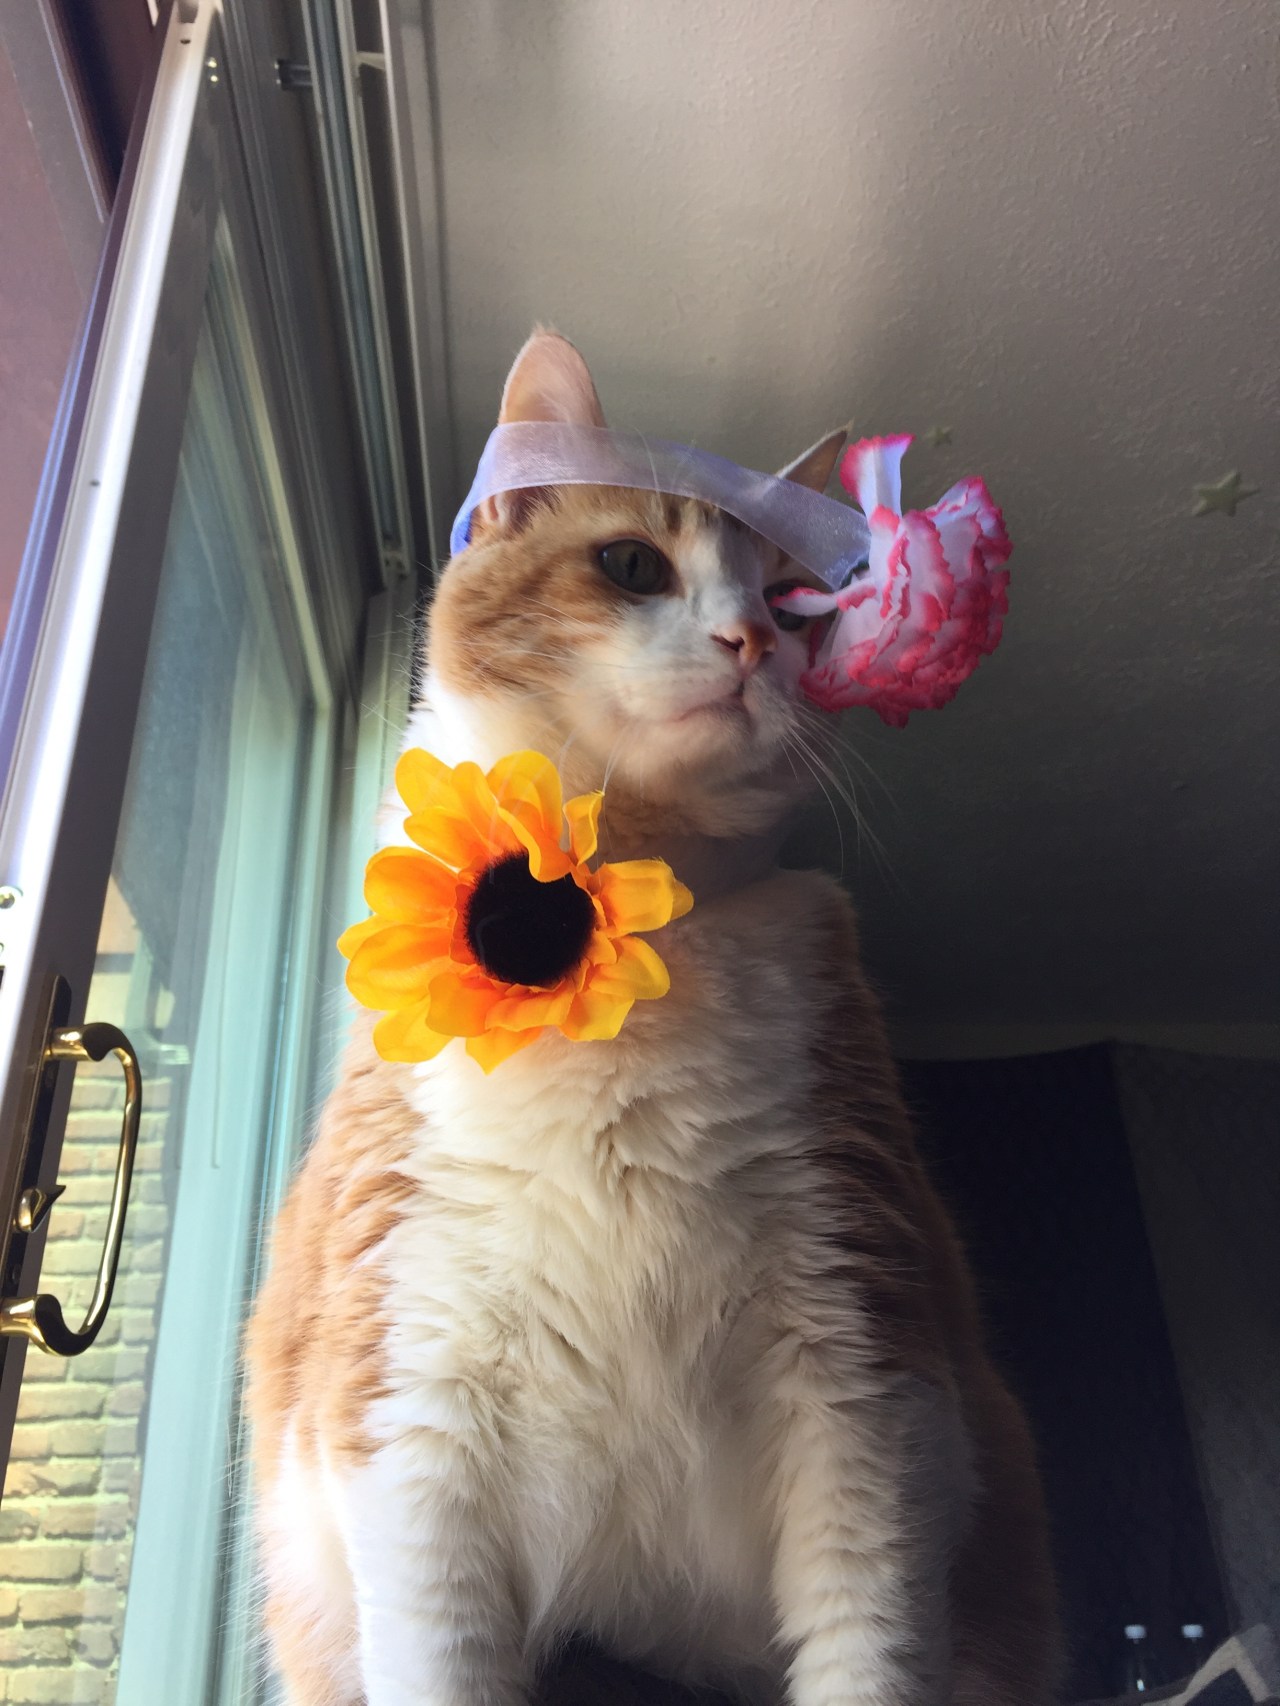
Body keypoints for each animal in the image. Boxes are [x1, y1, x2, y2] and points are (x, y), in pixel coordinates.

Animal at [244, 329, 1058, 1706]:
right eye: (632, 564)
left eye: (790, 605)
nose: (745, 642)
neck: (612, 924)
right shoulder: (413, 1413)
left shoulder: (861, 1377)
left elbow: (868, 1631)